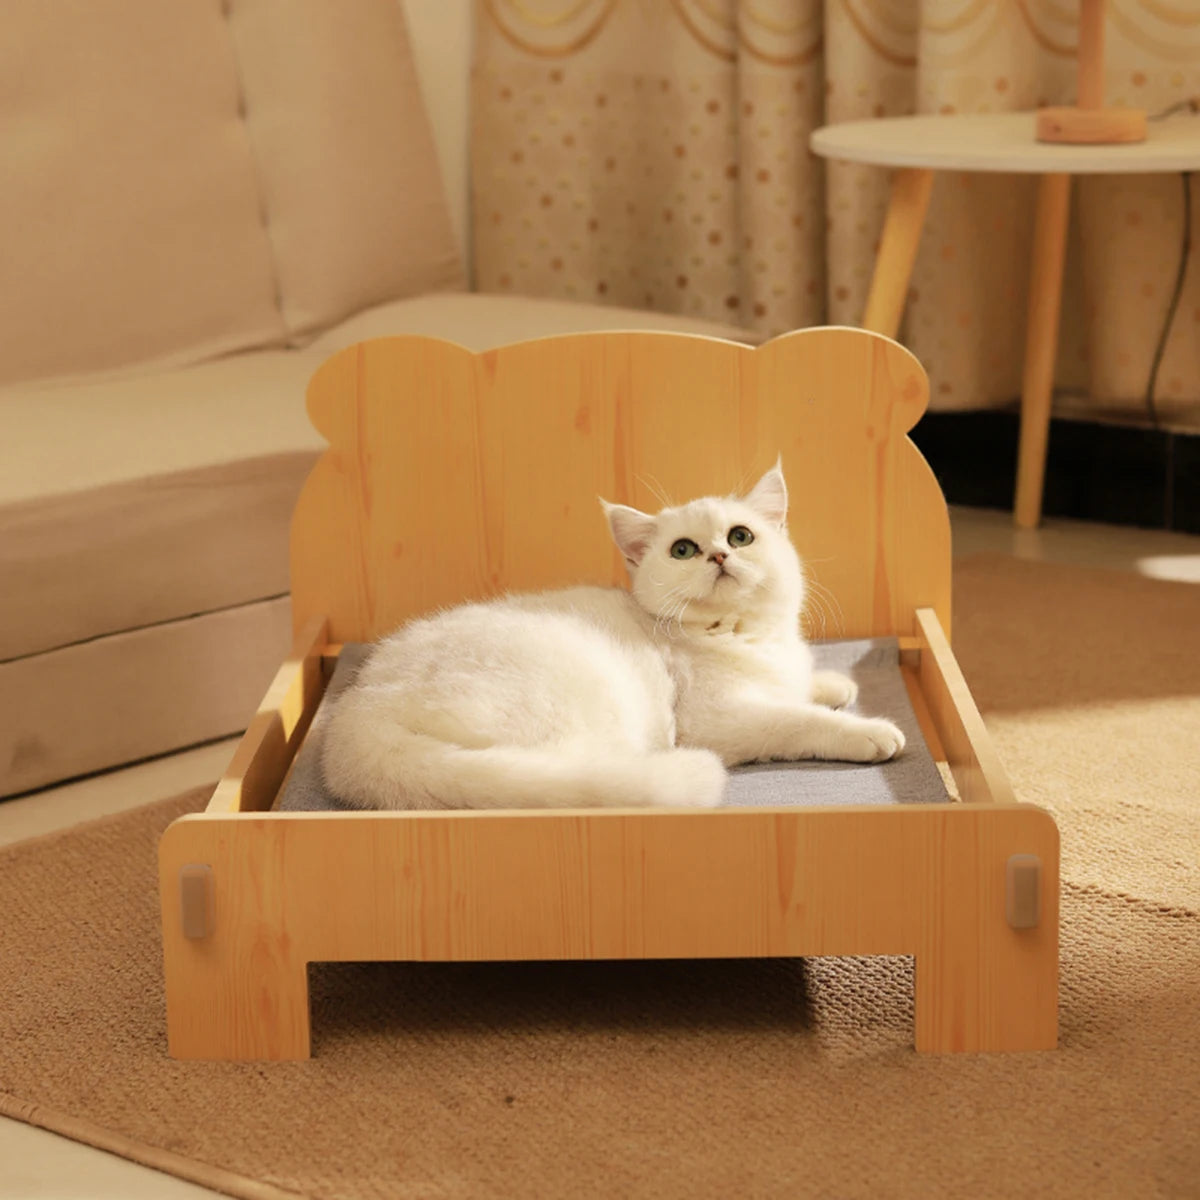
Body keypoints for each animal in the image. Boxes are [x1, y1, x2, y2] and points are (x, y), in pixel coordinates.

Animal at [319, 463, 902, 811]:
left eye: (741, 536)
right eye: (683, 550)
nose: (719, 555)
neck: (739, 634)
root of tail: (357, 717)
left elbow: (801, 687)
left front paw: (832, 684)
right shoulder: (722, 720)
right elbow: (796, 719)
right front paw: (868, 731)